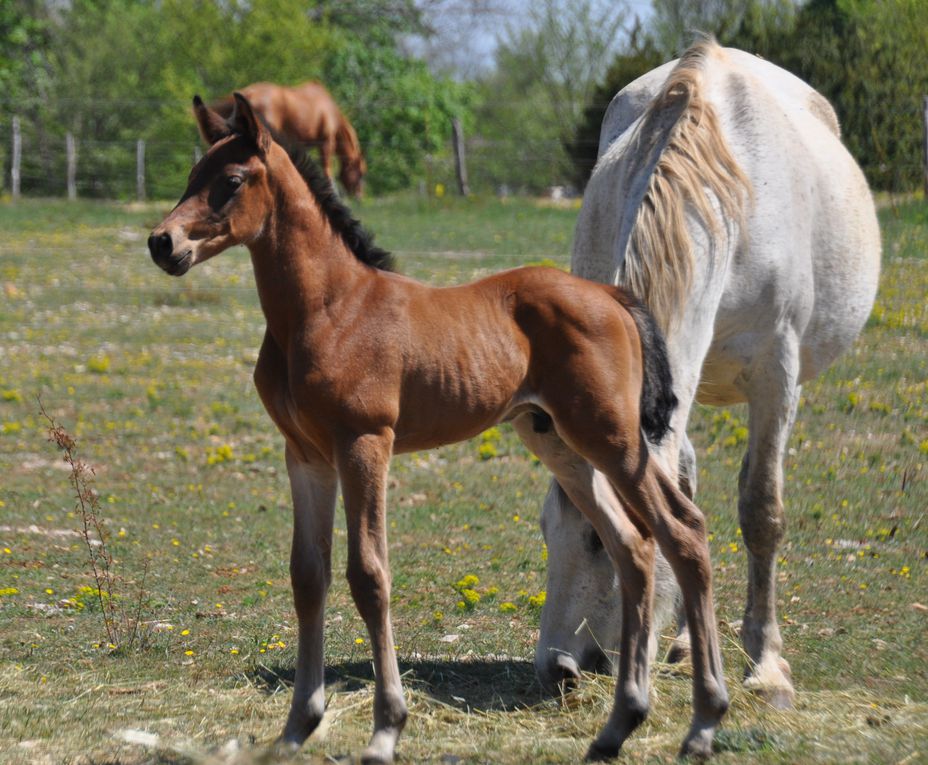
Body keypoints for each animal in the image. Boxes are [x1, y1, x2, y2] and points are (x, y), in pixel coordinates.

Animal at [536, 38, 876, 708]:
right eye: (544, 529)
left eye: (600, 539)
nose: (555, 667)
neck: (727, 205)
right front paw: (695, 644)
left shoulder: (777, 374)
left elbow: (761, 509)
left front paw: (766, 666)